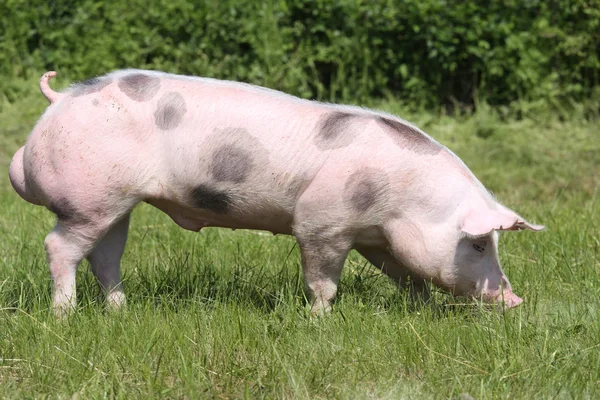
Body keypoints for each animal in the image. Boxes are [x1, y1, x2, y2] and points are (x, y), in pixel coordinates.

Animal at [8, 71, 544, 316]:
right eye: (478, 243)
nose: (515, 299)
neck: (405, 201)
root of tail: (60, 99)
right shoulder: (322, 223)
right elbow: (323, 279)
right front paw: (321, 319)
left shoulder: (376, 236)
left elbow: (407, 274)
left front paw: (423, 309)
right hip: (88, 198)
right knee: (59, 246)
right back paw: (64, 315)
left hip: (116, 201)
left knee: (105, 256)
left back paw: (121, 310)